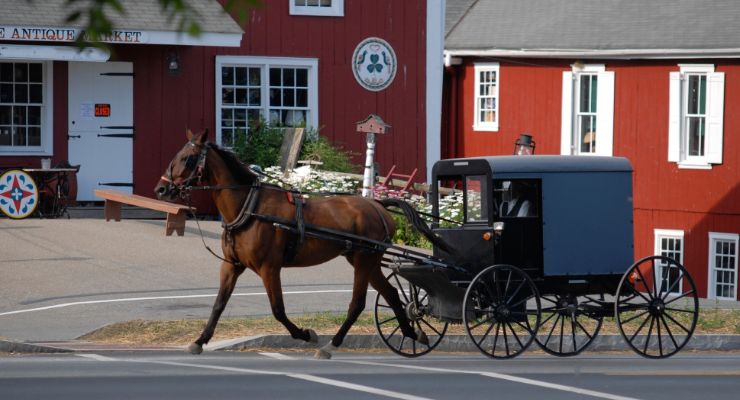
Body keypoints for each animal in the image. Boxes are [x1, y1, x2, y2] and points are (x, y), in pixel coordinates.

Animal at [152, 129, 436, 360]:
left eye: (188, 158)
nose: (161, 190)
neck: (249, 206)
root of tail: (377, 205)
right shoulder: (231, 266)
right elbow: (219, 304)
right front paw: (200, 341)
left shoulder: (269, 268)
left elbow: (278, 309)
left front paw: (306, 334)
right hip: (367, 261)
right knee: (391, 294)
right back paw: (413, 333)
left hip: (364, 260)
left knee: (357, 304)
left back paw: (331, 345)